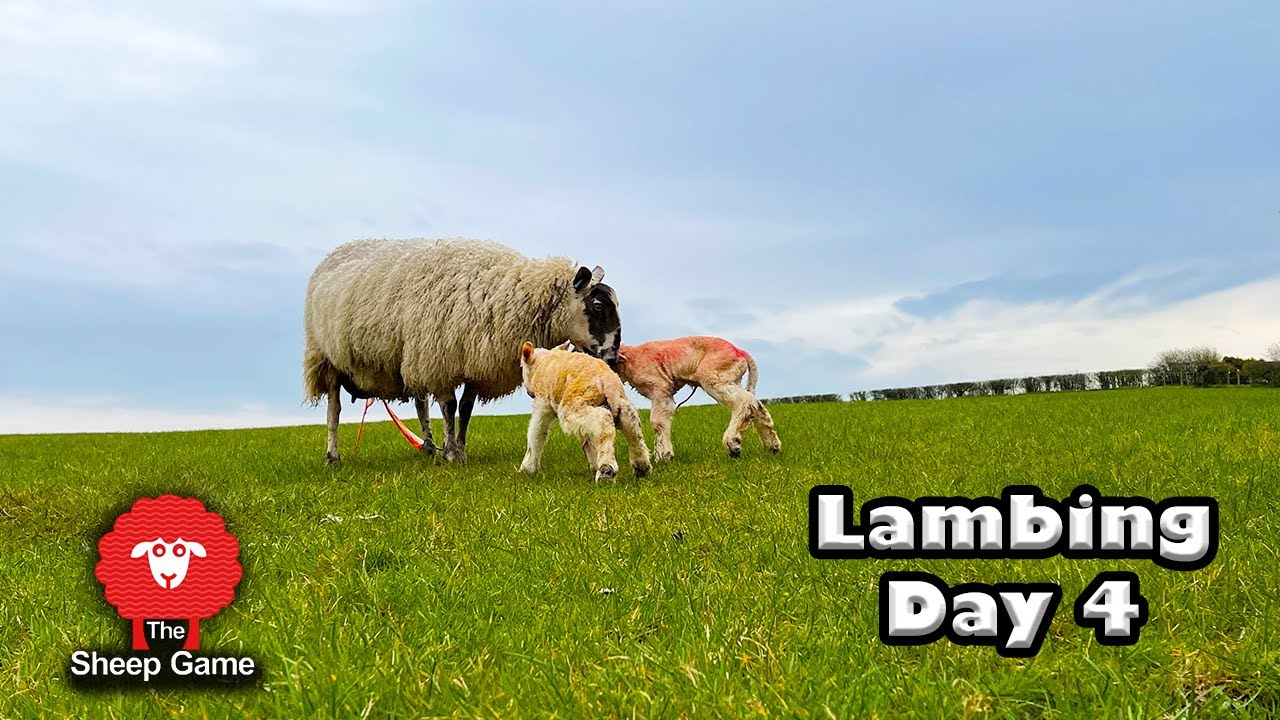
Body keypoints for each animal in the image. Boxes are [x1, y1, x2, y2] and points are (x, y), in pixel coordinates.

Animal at [303, 238, 622, 466]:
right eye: (597, 307)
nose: (612, 359)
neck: (505, 292)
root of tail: (335, 253)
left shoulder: (474, 364)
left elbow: (465, 410)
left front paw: (459, 449)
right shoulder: (441, 360)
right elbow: (449, 407)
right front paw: (452, 454)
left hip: (412, 356)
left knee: (420, 405)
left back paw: (429, 448)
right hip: (327, 360)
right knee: (334, 410)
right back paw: (332, 457)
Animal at [519, 340, 651, 482]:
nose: (529, 392)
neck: (542, 363)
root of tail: (608, 382)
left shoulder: (542, 403)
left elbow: (537, 434)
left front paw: (527, 469)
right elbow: (587, 439)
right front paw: (593, 464)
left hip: (574, 406)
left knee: (603, 421)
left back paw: (606, 472)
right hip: (616, 406)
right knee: (632, 426)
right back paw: (641, 467)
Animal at [614, 336, 781, 460]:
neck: (632, 358)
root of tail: (741, 352)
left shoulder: (660, 389)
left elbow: (658, 423)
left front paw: (663, 456)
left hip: (713, 376)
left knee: (743, 401)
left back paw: (732, 444)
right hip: (731, 378)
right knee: (755, 403)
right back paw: (772, 446)